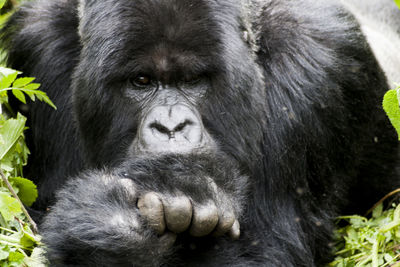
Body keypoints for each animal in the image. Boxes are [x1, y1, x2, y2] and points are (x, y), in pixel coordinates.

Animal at [0, 0, 400, 266]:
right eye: (141, 81)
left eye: (193, 80)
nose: (170, 127)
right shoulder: (41, 48)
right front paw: (110, 228)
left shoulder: (317, 65)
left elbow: (271, 253)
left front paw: (177, 184)